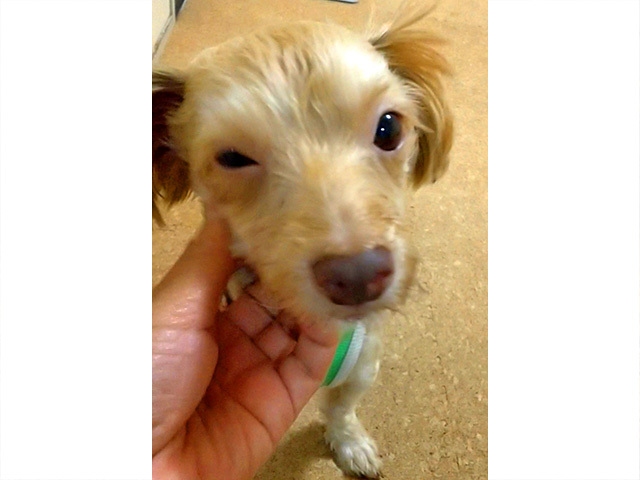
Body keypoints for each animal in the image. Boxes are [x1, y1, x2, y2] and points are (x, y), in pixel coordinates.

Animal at [152, 5, 452, 477]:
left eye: (388, 128)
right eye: (232, 158)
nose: (357, 276)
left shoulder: (365, 364)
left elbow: (341, 407)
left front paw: (349, 441)